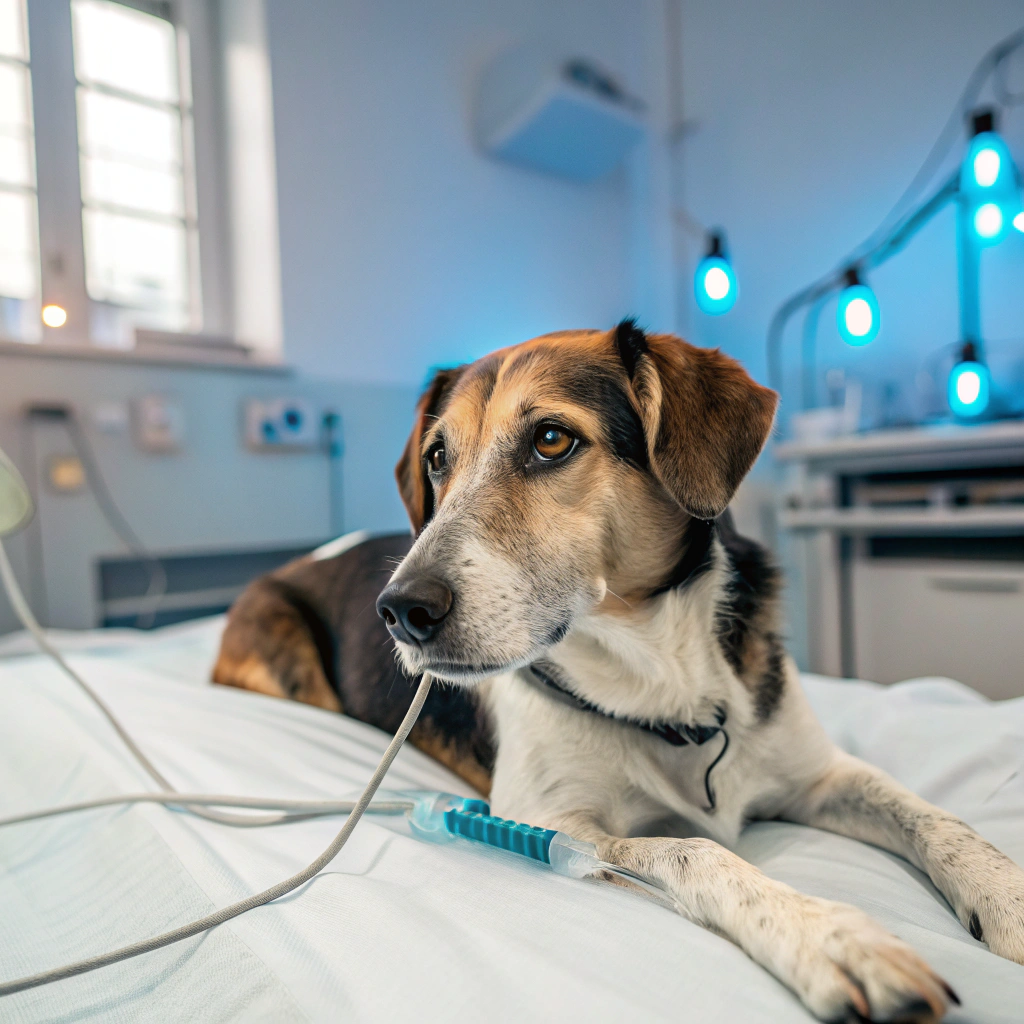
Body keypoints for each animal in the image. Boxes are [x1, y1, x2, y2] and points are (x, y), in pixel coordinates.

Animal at [216, 321, 1024, 1024]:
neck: (660, 673)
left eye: (551, 439)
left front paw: (1009, 898)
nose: (401, 610)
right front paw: (829, 936)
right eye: (438, 458)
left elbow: (938, 819)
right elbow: (697, 850)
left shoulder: (819, 773)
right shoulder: (553, 822)